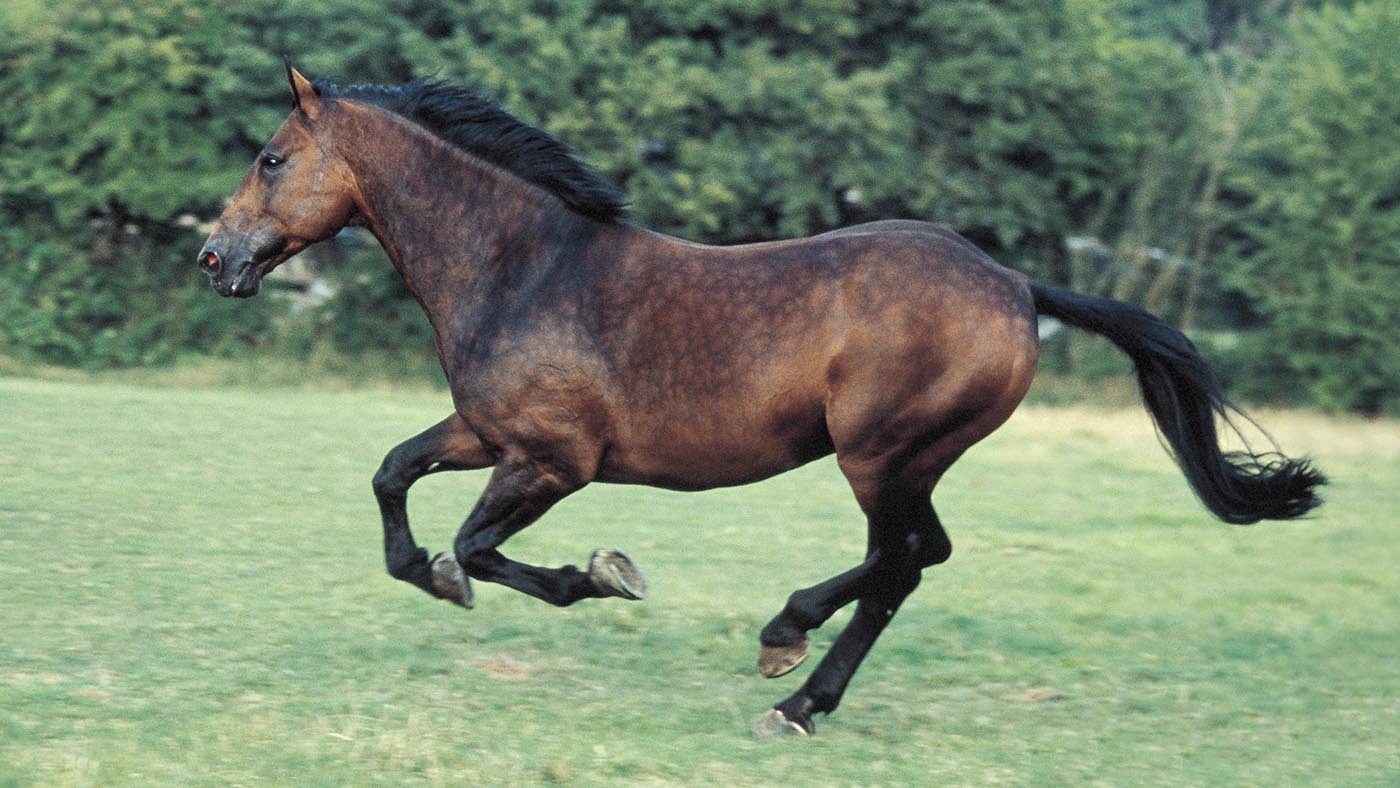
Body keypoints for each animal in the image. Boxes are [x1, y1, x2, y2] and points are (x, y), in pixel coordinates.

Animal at [198, 64, 1324, 736]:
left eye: (270, 157)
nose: (214, 258)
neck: (525, 268)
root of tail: (1014, 286)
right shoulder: (486, 430)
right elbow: (392, 476)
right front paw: (428, 574)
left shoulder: (555, 460)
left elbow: (481, 547)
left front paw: (600, 575)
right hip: (902, 460)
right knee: (915, 556)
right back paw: (791, 651)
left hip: (881, 453)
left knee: (901, 562)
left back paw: (796, 679)